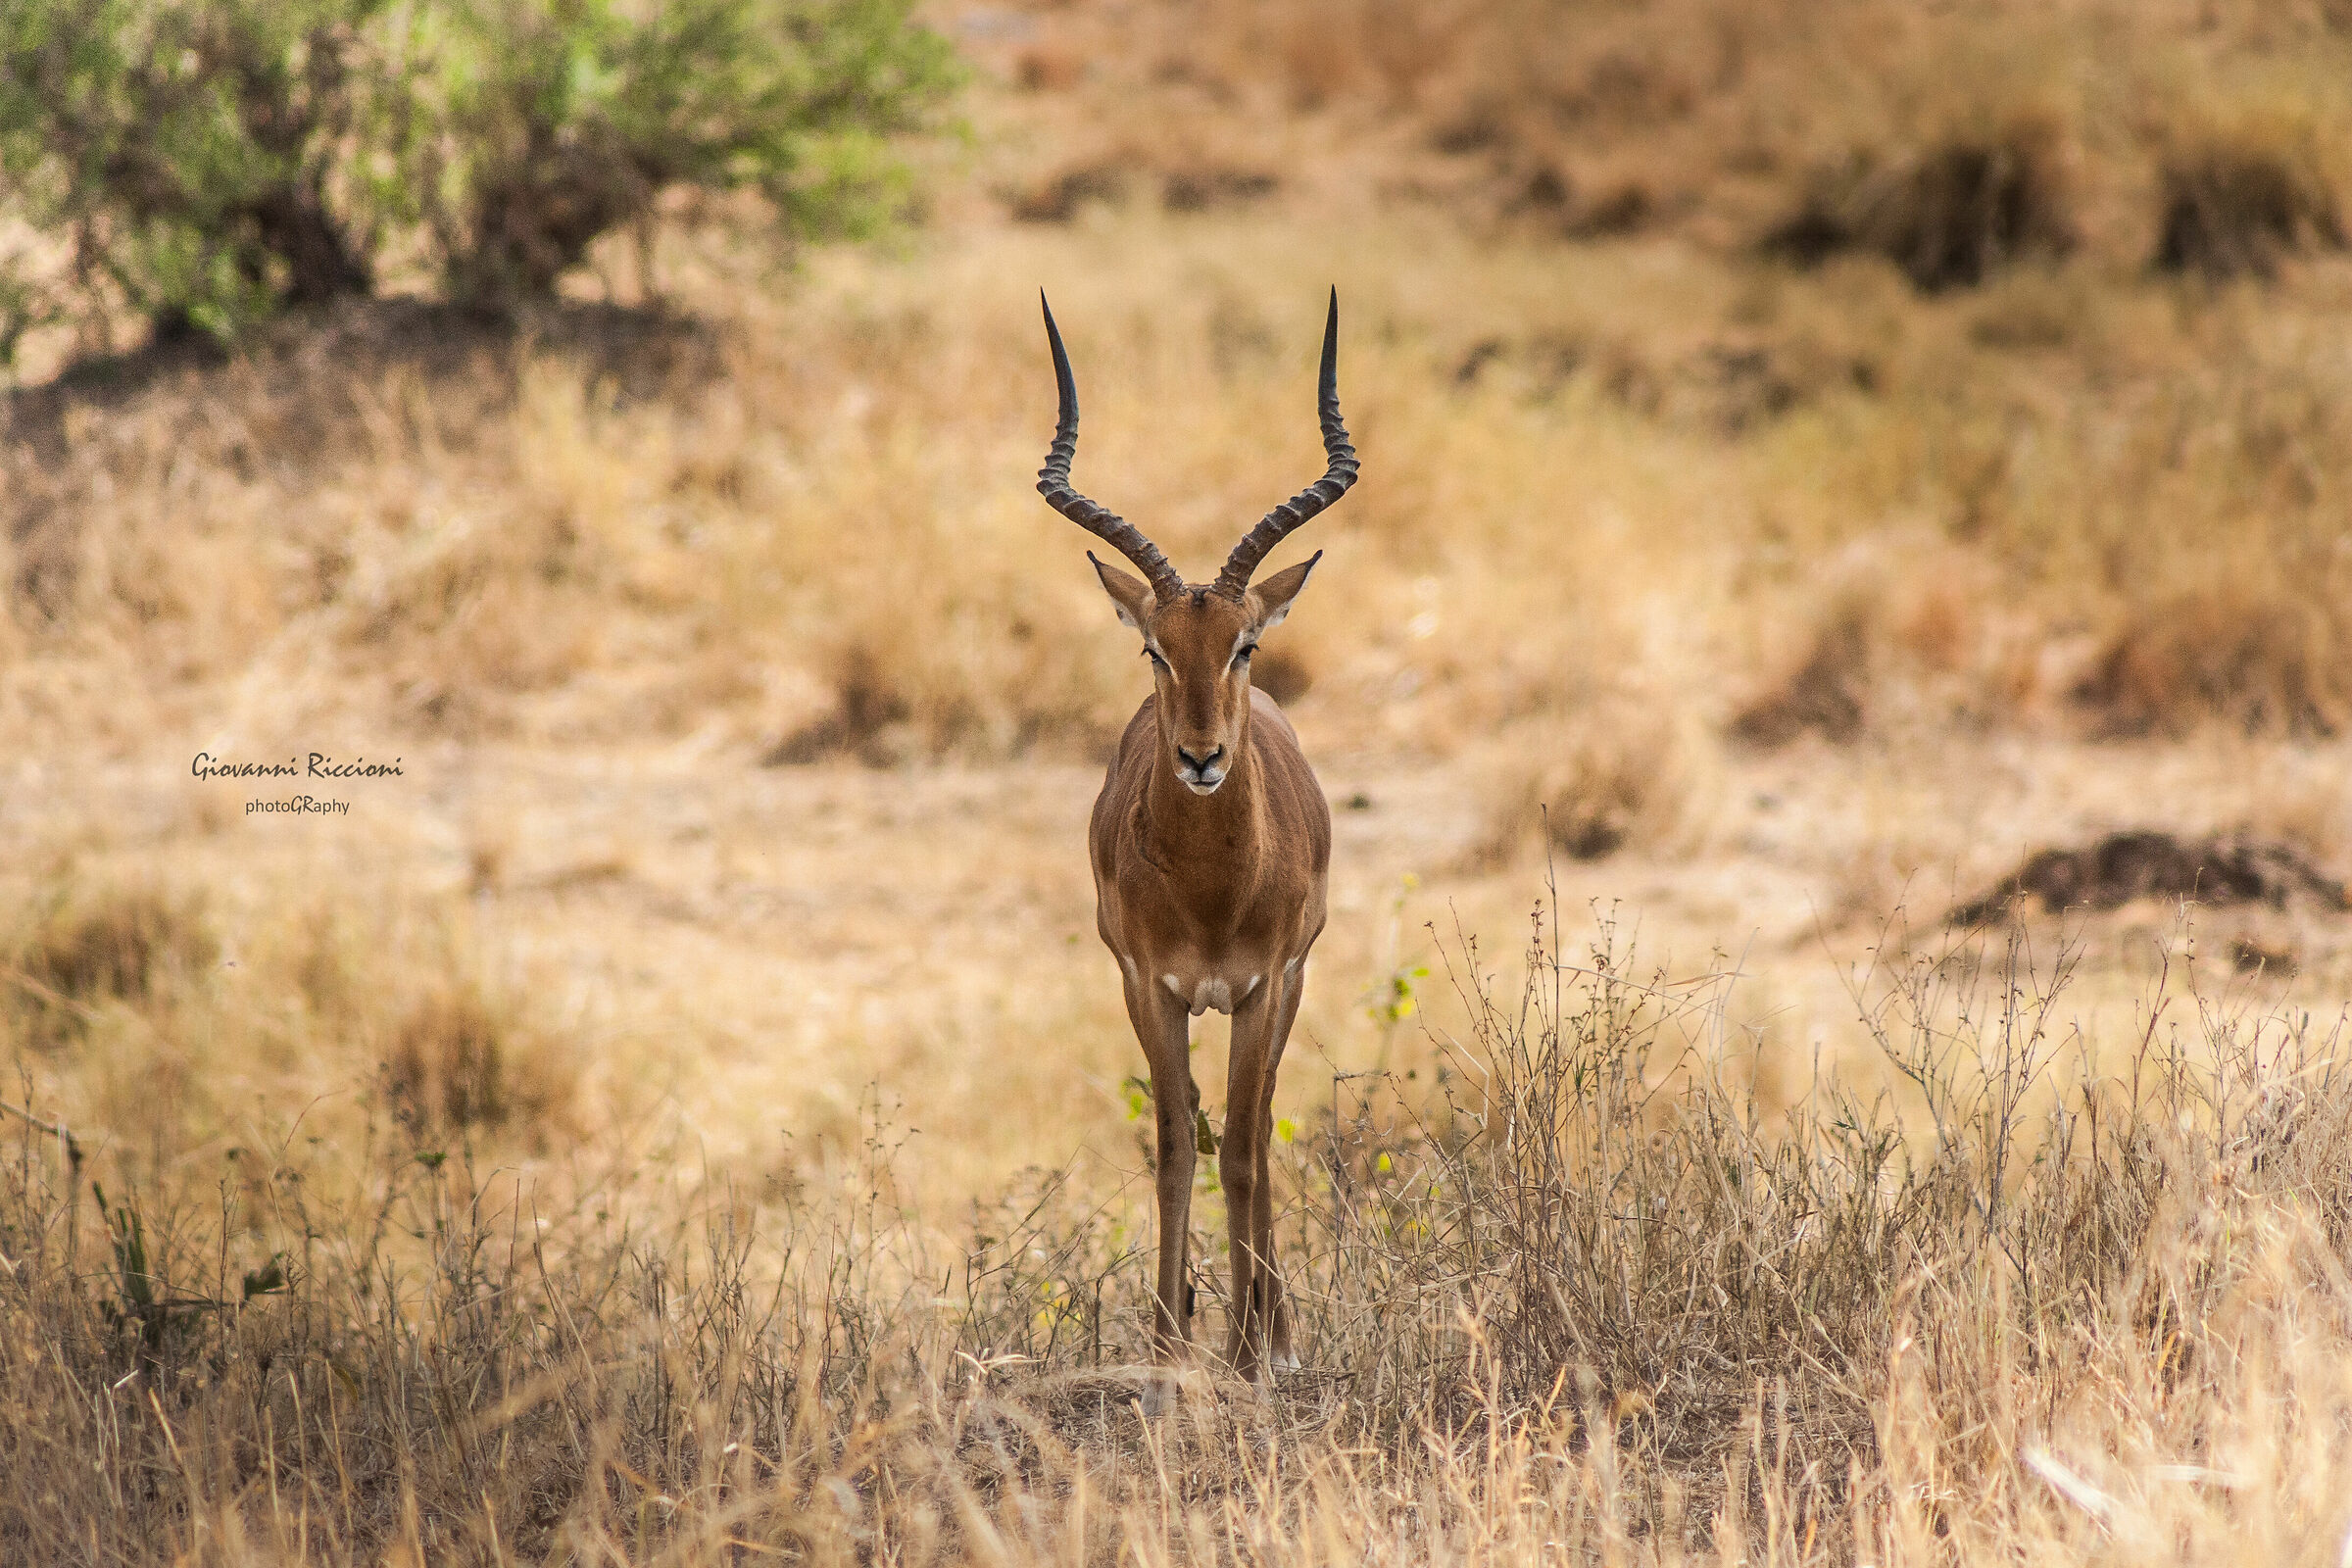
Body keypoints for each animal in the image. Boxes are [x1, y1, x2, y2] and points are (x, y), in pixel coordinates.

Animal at [1034, 289, 1358, 1385]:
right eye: (1154, 648)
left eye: (1245, 644)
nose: (1203, 757)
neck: (1215, 893)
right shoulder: (1149, 984)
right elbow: (1179, 1144)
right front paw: (1171, 1339)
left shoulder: (1263, 985)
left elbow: (1250, 1148)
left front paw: (1255, 1348)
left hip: (1290, 989)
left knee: (1256, 1130)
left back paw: (1276, 1327)